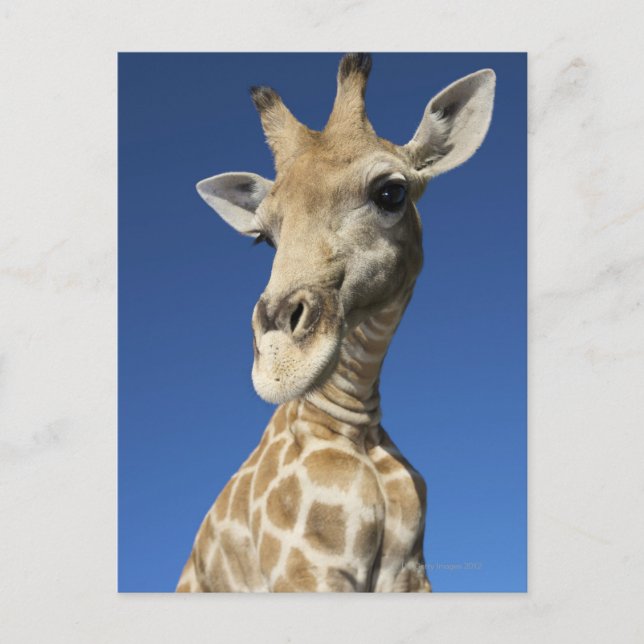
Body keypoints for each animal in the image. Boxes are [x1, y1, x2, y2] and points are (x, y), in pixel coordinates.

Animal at [177, 53, 495, 592]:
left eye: (391, 192)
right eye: (263, 237)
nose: (279, 363)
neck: (354, 424)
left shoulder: (409, 572)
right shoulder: (308, 568)